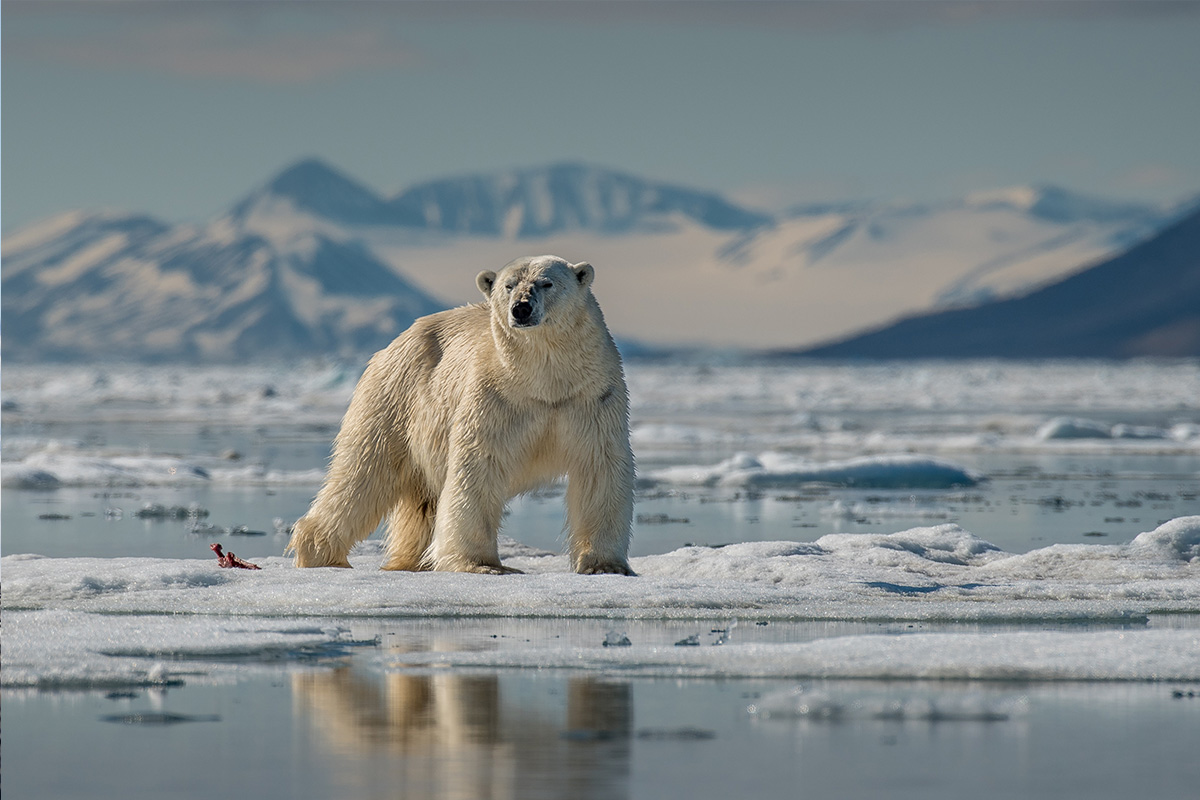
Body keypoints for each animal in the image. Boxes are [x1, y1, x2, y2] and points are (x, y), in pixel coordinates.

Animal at [286, 255, 635, 576]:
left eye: (547, 283)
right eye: (509, 286)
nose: (521, 309)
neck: (545, 380)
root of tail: (395, 342)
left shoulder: (592, 398)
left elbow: (598, 467)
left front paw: (606, 566)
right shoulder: (496, 397)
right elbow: (479, 466)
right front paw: (482, 564)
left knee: (417, 500)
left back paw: (411, 560)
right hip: (397, 398)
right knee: (363, 471)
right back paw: (320, 554)